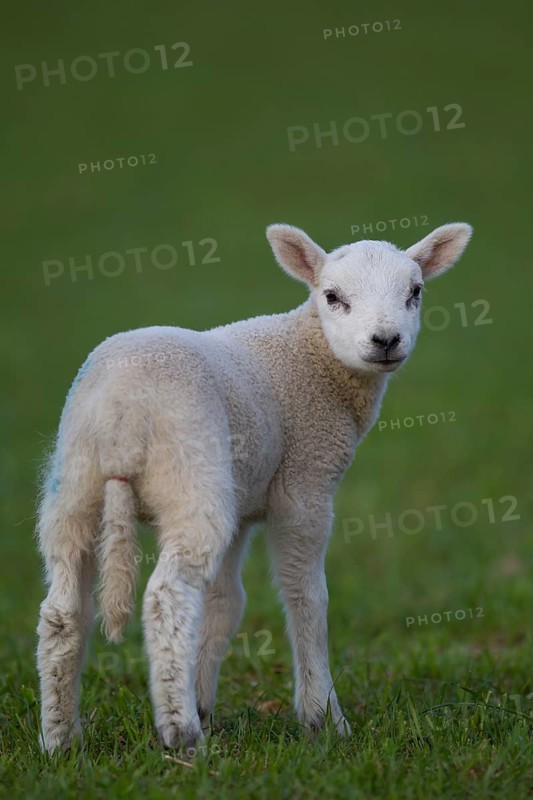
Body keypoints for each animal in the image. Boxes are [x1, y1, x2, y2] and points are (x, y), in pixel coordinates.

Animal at [36, 221, 472, 753]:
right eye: (332, 297)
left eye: (415, 292)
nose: (385, 340)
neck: (313, 357)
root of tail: (121, 417)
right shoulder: (305, 484)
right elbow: (307, 596)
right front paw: (323, 717)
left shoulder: (243, 504)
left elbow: (225, 603)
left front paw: (205, 698)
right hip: (192, 477)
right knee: (167, 597)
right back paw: (181, 731)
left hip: (76, 485)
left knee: (62, 609)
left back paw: (61, 739)